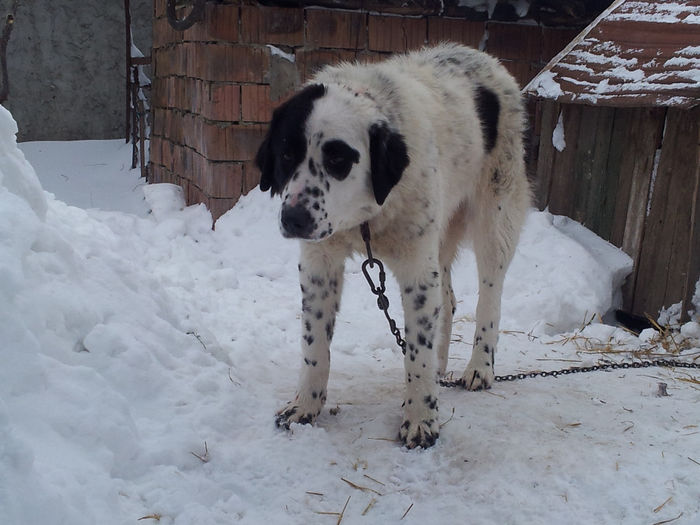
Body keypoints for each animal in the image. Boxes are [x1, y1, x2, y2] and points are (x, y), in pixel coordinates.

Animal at [256, 43, 532, 448]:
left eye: (338, 158)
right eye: (287, 153)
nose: (294, 219)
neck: (366, 218)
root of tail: (483, 57)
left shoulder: (417, 267)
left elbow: (416, 353)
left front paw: (420, 419)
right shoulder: (319, 265)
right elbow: (314, 346)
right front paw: (305, 406)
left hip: (494, 219)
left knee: (490, 297)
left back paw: (479, 367)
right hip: (440, 236)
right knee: (448, 301)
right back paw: (441, 367)